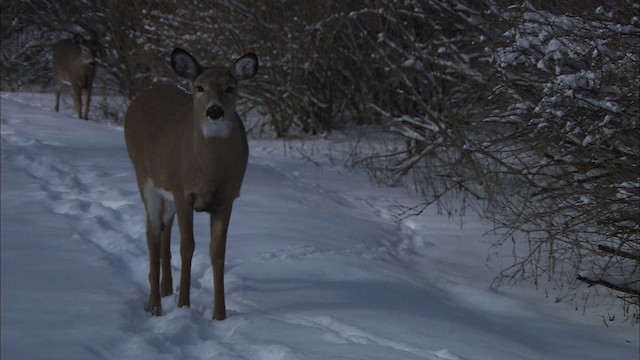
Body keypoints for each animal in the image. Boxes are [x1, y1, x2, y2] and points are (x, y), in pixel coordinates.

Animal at [123, 46, 258, 320]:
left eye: (230, 87)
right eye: (199, 87)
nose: (214, 111)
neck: (209, 172)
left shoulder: (226, 199)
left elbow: (218, 253)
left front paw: (220, 315)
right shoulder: (183, 192)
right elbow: (188, 246)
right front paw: (183, 305)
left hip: (167, 191)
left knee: (163, 229)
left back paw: (166, 289)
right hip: (144, 175)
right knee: (152, 233)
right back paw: (155, 305)